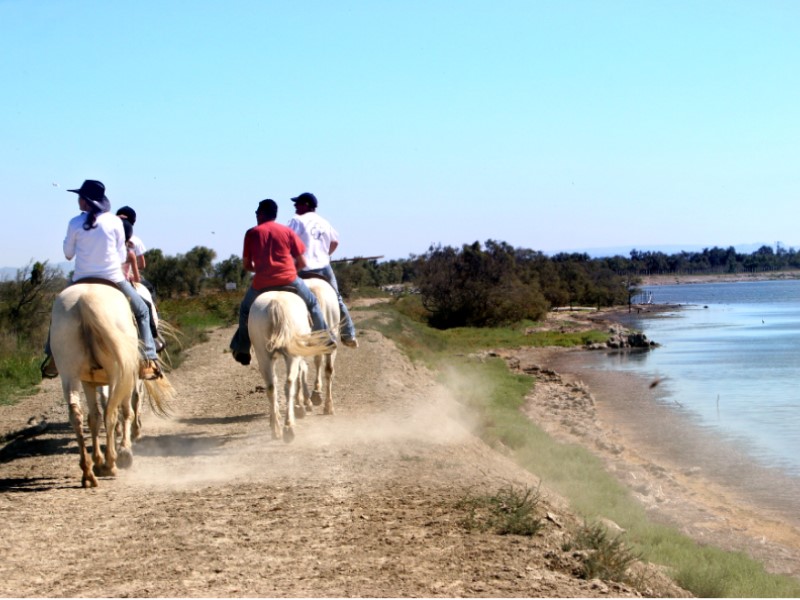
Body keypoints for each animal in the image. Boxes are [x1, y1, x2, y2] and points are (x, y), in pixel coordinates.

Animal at [50, 282, 176, 488]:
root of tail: (84, 300)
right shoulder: (130, 374)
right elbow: (130, 406)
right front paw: (127, 445)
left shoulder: (89, 380)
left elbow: (95, 417)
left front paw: (99, 459)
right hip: (118, 371)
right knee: (112, 411)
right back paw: (111, 463)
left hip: (70, 372)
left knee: (79, 414)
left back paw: (89, 472)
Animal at [250, 288, 338, 442]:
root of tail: (275, 303)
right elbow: (311, 371)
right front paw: (307, 404)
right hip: (293, 354)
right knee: (291, 383)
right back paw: (290, 426)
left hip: (263, 355)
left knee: (271, 387)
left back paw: (276, 429)